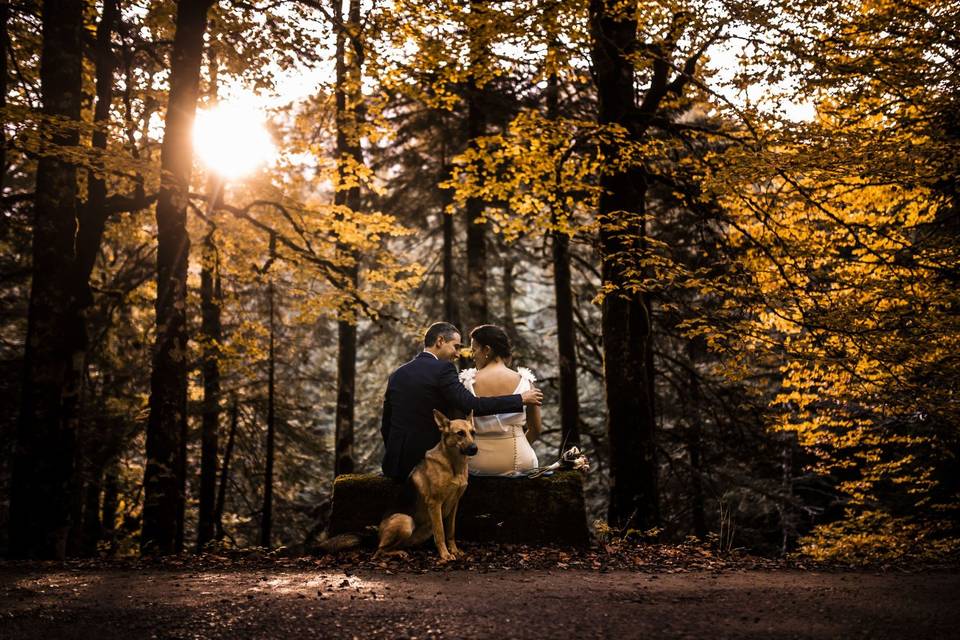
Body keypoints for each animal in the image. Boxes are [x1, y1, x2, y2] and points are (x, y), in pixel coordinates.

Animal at [376, 410, 480, 560]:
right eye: (460, 433)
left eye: (473, 432)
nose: (474, 448)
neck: (453, 465)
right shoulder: (434, 503)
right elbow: (440, 532)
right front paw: (445, 555)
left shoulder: (454, 504)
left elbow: (450, 531)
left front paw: (454, 550)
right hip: (406, 521)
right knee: (379, 551)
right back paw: (396, 553)